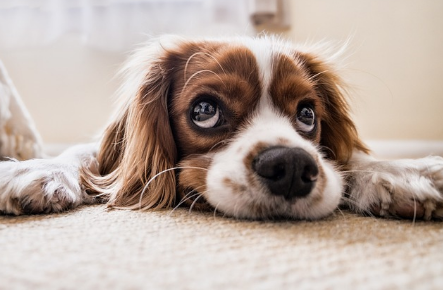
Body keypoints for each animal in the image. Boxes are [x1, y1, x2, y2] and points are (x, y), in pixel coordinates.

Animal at [0, 35, 443, 220]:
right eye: (205, 110)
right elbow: (85, 154)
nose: (292, 166)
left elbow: (352, 158)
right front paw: (35, 169)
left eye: (307, 115)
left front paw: (401, 172)